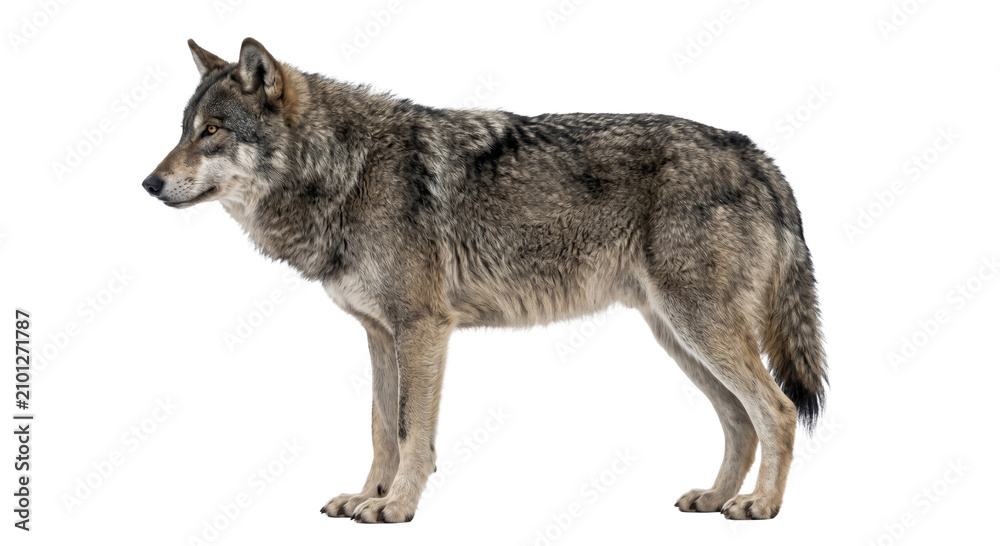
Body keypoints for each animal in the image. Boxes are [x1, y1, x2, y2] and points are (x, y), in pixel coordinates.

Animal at [143, 38, 826, 522]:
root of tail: (756, 154)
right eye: (182, 130)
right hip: (679, 339)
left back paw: (760, 506)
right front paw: (367, 497)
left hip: (700, 330)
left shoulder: (423, 329)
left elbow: (413, 432)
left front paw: (397, 506)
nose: (148, 183)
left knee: (778, 411)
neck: (345, 171)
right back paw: (714, 498)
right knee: (740, 420)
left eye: (212, 131)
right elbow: (380, 429)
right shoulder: (380, 334)